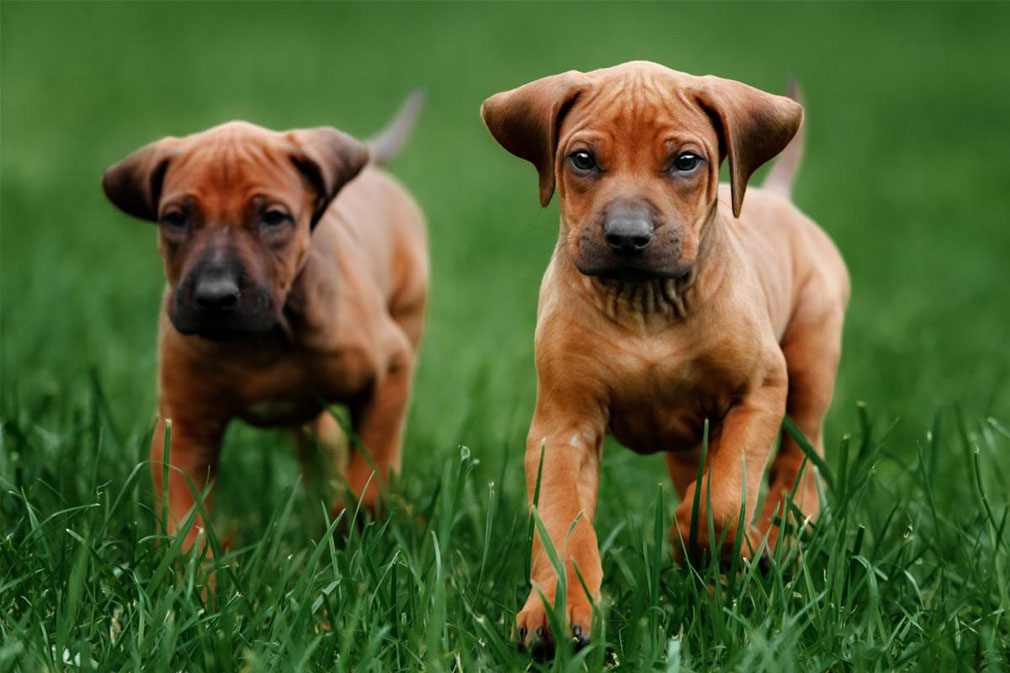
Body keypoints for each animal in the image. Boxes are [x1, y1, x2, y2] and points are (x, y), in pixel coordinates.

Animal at [104, 91, 428, 549]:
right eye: (176, 219)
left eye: (273, 218)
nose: (214, 297)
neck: (264, 340)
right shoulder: (183, 429)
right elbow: (184, 523)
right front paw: (193, 569)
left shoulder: (390, 371)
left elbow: (370, 472)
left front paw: (354, 529)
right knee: (317, 440)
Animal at [484, 64, 848, 654]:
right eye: (582, 159)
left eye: (686, 162)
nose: (627, 238)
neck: (646, 305)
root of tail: (778, 198)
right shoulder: (563, 430)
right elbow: (564, 525)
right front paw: (556, 611)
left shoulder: (759, 392)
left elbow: (723, 496)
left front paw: (690, 538)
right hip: (688, 435)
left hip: (810, 363)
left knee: (797, 462)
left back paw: (769, 543)